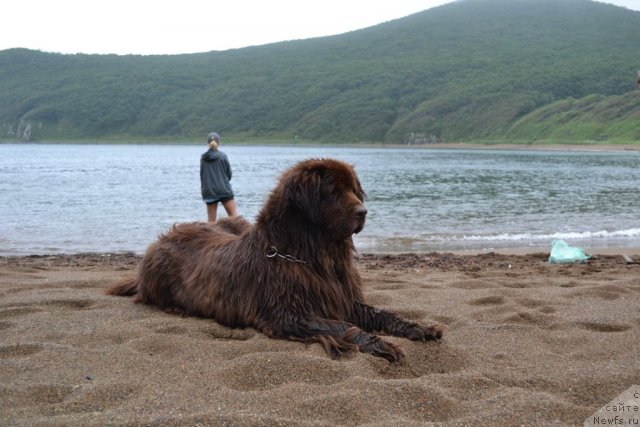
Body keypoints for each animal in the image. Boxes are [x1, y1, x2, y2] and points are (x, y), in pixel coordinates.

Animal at [107, 159, 442, 362]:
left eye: (354, 190)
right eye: (333, 191)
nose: (363, 212)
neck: (312, 257)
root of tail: (162, 239)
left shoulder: (344, 298)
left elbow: (384, 313)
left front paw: (419, 329)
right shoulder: (287, 313)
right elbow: (339, 327)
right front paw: (380, 344)